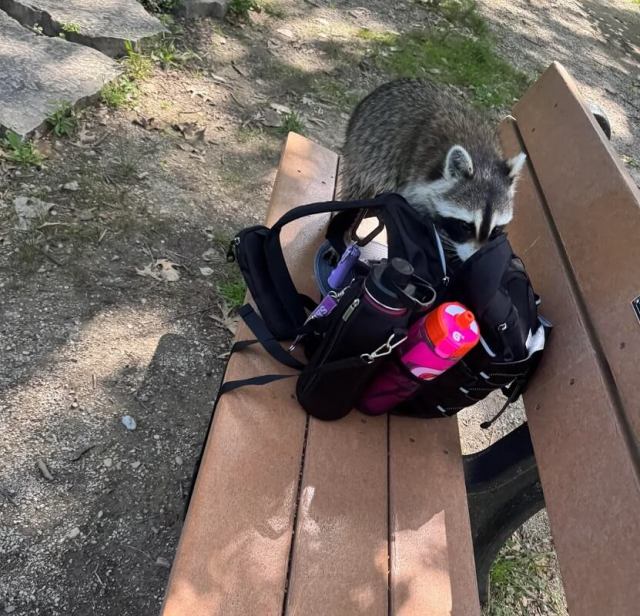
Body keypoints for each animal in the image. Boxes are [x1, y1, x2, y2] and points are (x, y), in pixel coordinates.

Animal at [340, 78, 526, 261]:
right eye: (466, 226)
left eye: (496, 229)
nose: (474, 259)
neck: (482, 158)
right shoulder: (413, 176)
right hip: (365, 150)